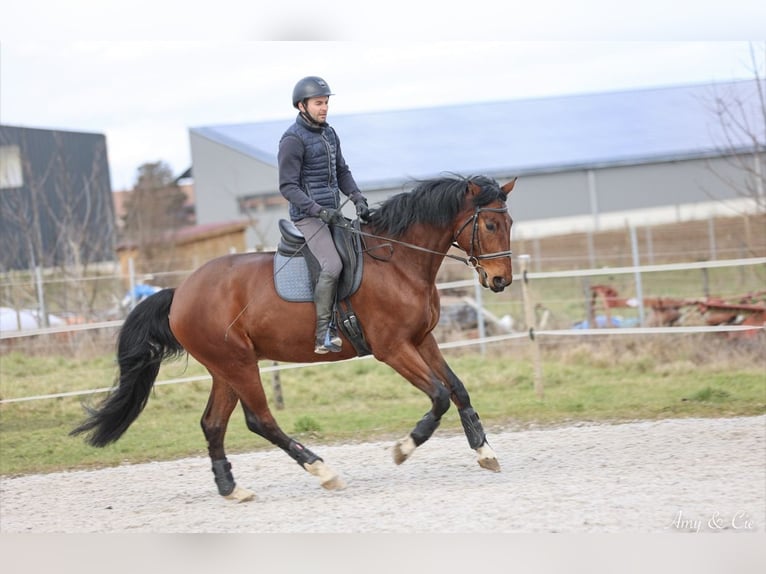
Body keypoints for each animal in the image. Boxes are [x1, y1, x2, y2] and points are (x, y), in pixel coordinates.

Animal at [71, 174, 516, 502]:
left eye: (509, 224)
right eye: (490, 224)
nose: (500, 281)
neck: (398, 261)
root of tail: (180, 292)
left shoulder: (423, 340)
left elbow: (457, 389)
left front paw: (485, 452)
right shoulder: (393, 349)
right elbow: (439, 396)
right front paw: (403, 448)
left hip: (225, 368)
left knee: (213, 424)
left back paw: (232, 490)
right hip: (238, 364)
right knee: (260, 420)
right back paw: (323, 471)